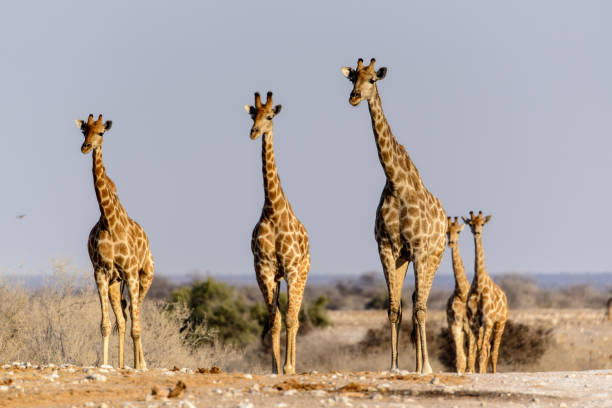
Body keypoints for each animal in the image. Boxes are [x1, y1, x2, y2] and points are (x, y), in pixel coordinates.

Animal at [74, 112, 155, 370]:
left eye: (101, 132)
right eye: (84, 131)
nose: (85, 147)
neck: (108, 220)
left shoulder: (130, 272)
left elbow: (136, 329)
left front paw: (139, 366)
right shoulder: (100, 272)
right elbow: (106, 325)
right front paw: (106, 364)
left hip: (145, 277)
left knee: (136, 317)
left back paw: (141, 363)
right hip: (114, 283)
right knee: (123, 317)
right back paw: (122, 363)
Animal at [342, 57, 448, 372]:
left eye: (372, 80)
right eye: (352, 78)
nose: (353, 97)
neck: (396, 182)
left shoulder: (420, 249)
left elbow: (420, 310)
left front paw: (426, 368)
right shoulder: (387, 247)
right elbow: (393, 309)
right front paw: (394, 365)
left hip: (434, 256)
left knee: (421, 306)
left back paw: (423, 365)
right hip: (405, 258)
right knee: (409, 304)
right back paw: (415, 364)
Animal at [462, 212, 510, 374]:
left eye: (482, 224)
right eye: (470, 224)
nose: (476, 232)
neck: (479, 285)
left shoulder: (488, 320)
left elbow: (483, 351)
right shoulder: (473, 321)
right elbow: (478, 349)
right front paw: (479, 372)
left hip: (500, 323)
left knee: (494, 351)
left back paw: (494, 372)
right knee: (488, 348)